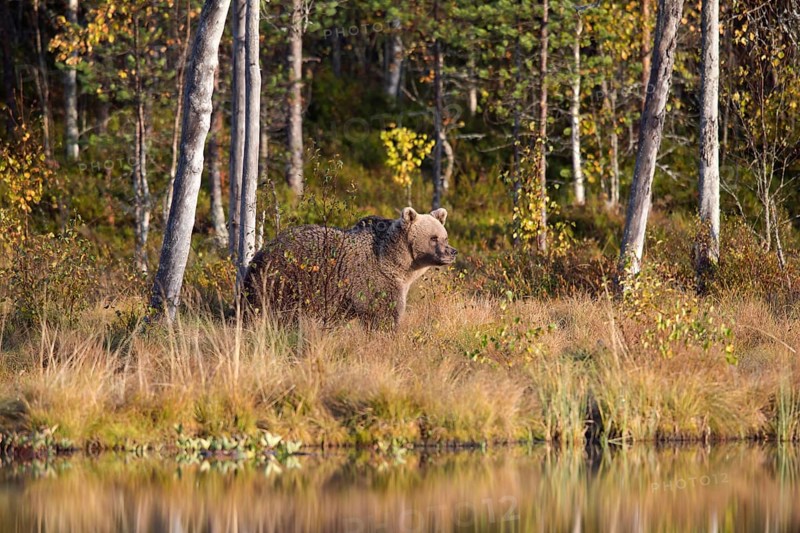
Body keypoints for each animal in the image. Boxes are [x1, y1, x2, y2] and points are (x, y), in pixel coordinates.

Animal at [242, 207, 457, 329]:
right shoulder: (377, 282)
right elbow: (384, 315)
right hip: (286, 279)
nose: (452, 252)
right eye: (433, 238)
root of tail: (262, 252)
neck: (399, 264)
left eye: (444, 236)